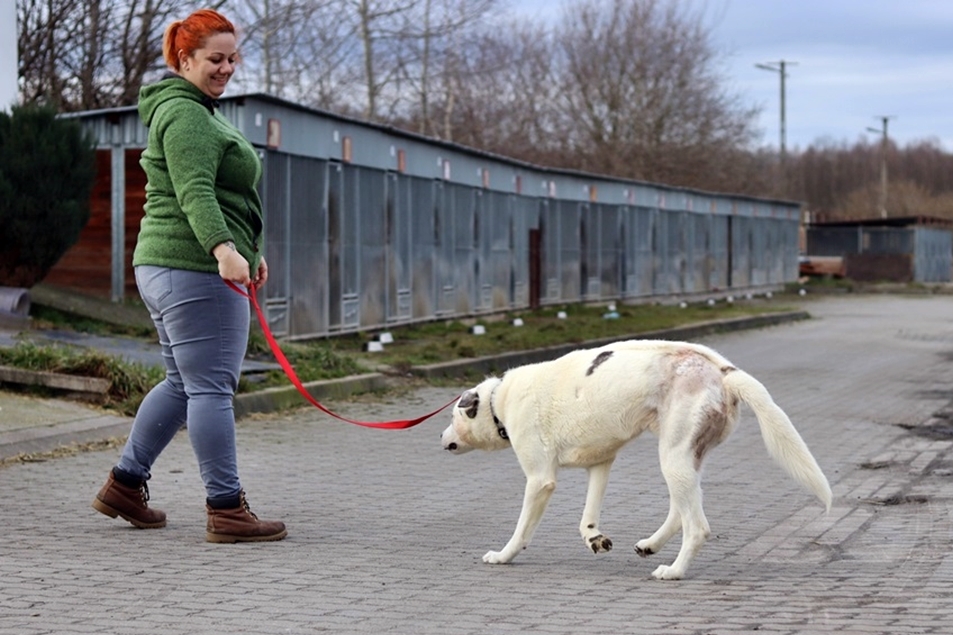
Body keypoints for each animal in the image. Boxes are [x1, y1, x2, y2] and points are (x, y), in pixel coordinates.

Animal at [440, 340, 832, 580]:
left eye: (453, 415)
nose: (440, 438)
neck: (498, 402)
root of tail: (723, 372)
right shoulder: (601, 464)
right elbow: (587, 519)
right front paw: (594, 539)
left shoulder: (540, 480)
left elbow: (521, 530)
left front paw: (503, 556)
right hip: (684, 459)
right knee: (679, 510)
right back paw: (651, 545)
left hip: (673, 458)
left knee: (697, 526)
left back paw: (674, 571)